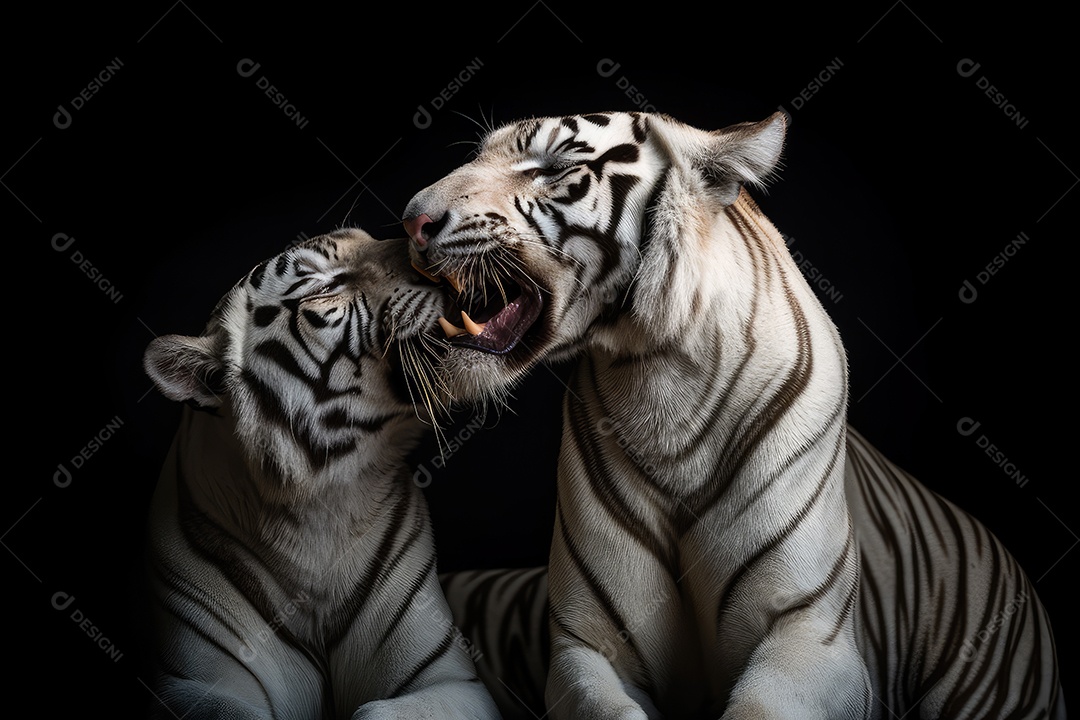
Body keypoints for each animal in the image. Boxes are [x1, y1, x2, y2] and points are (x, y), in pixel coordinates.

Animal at [142, 229, 500, 719]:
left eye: (366, 236)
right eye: (322, 287)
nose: (433, 258)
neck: (316, 511)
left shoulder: (450, 679)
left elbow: (374, 710)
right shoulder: (197, 683)